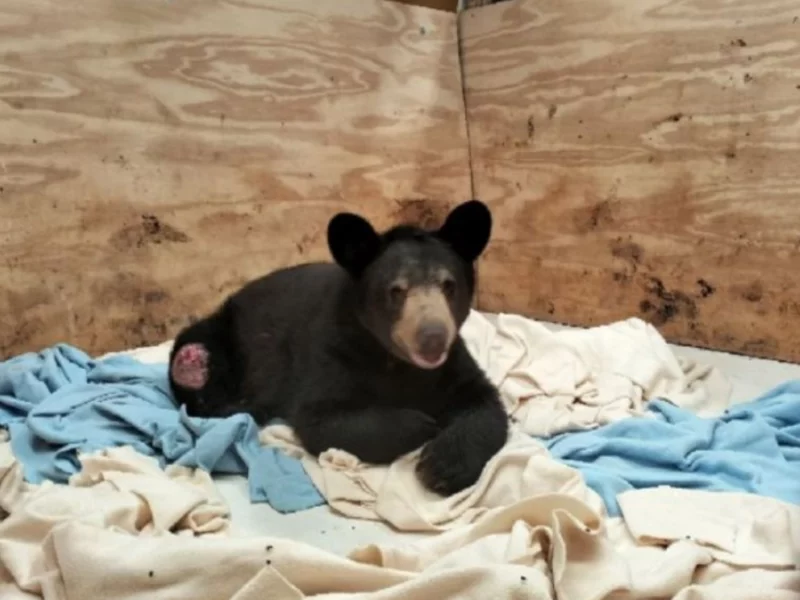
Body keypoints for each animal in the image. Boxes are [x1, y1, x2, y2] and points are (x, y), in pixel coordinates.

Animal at [168, 199, 509, 496]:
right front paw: (423, 424)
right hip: (222, 338)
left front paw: (442, 466)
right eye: (396, 291)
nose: (433, 337)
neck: (395, 361)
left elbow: (483, 401)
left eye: (449, 285)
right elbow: (324, 419)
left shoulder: (451, 363)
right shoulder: (333, 350)